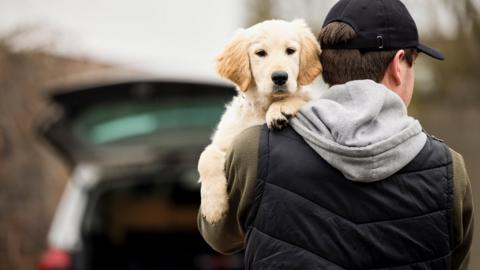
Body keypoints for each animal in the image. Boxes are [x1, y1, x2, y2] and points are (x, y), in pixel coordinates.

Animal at [199, 17, 322, 223]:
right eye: (260, 53)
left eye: (290, 51)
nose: (280, 77)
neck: (262, 107)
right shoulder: (226, 141)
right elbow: (206, 157)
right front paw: (214, 206)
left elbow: (302, 98)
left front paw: (280, 109)